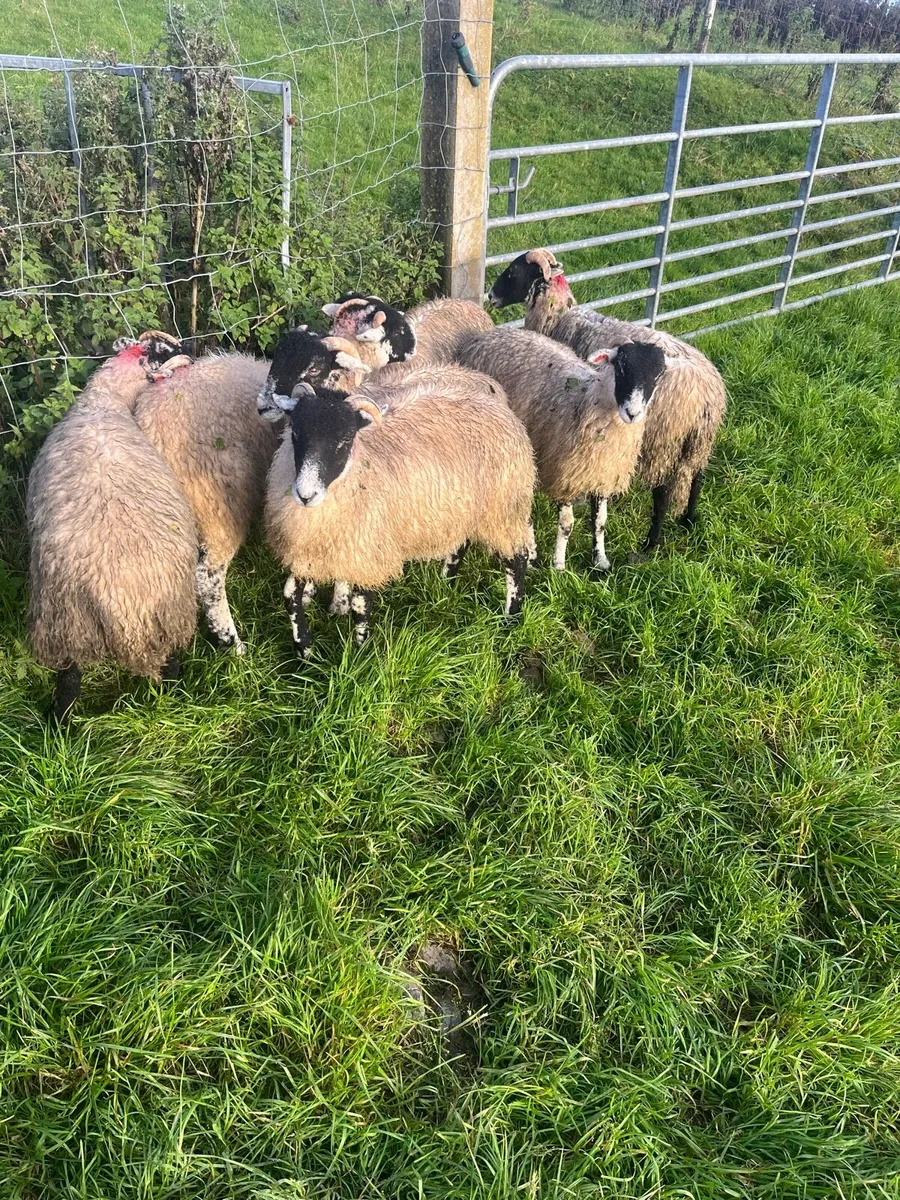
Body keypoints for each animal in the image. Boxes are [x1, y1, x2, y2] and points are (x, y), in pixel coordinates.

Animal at [27, 333, 198, 724]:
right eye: (165, 352)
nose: (193, 355)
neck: (104, 402)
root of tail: (121, 603)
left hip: (69, 621)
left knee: (70, 677)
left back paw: (60, 725)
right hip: (155, 615)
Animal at [262, 333, 536, 656]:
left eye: (345, 439)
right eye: (296, 433)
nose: (305, 494)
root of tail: (495, 400)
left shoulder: (368, 548)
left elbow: (359, 604)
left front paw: (360, 653)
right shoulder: (312, 547)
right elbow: (290, 594)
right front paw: (304, 651)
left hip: (503, 507)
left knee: (516, 559)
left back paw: (511, 617)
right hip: (463, 504)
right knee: (461, 541)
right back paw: (447, 581)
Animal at [458, 327, 667, 572]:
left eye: (658, 374)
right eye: (622, 367)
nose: (633, 413)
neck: (588, 401)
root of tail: (491, 333)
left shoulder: (602, 475)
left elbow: (600, 522)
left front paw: (601, 560)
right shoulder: (565, 475)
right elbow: (566, 525)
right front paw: (558, 565)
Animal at [487, 249, 727, 555]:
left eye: (513, 272)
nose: (491, 296)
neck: (560, 316)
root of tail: (708, 392)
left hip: (663, 440)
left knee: (662, 491)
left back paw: (650, 544)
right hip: (698, 441)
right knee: (697, 477)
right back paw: (689, 520)